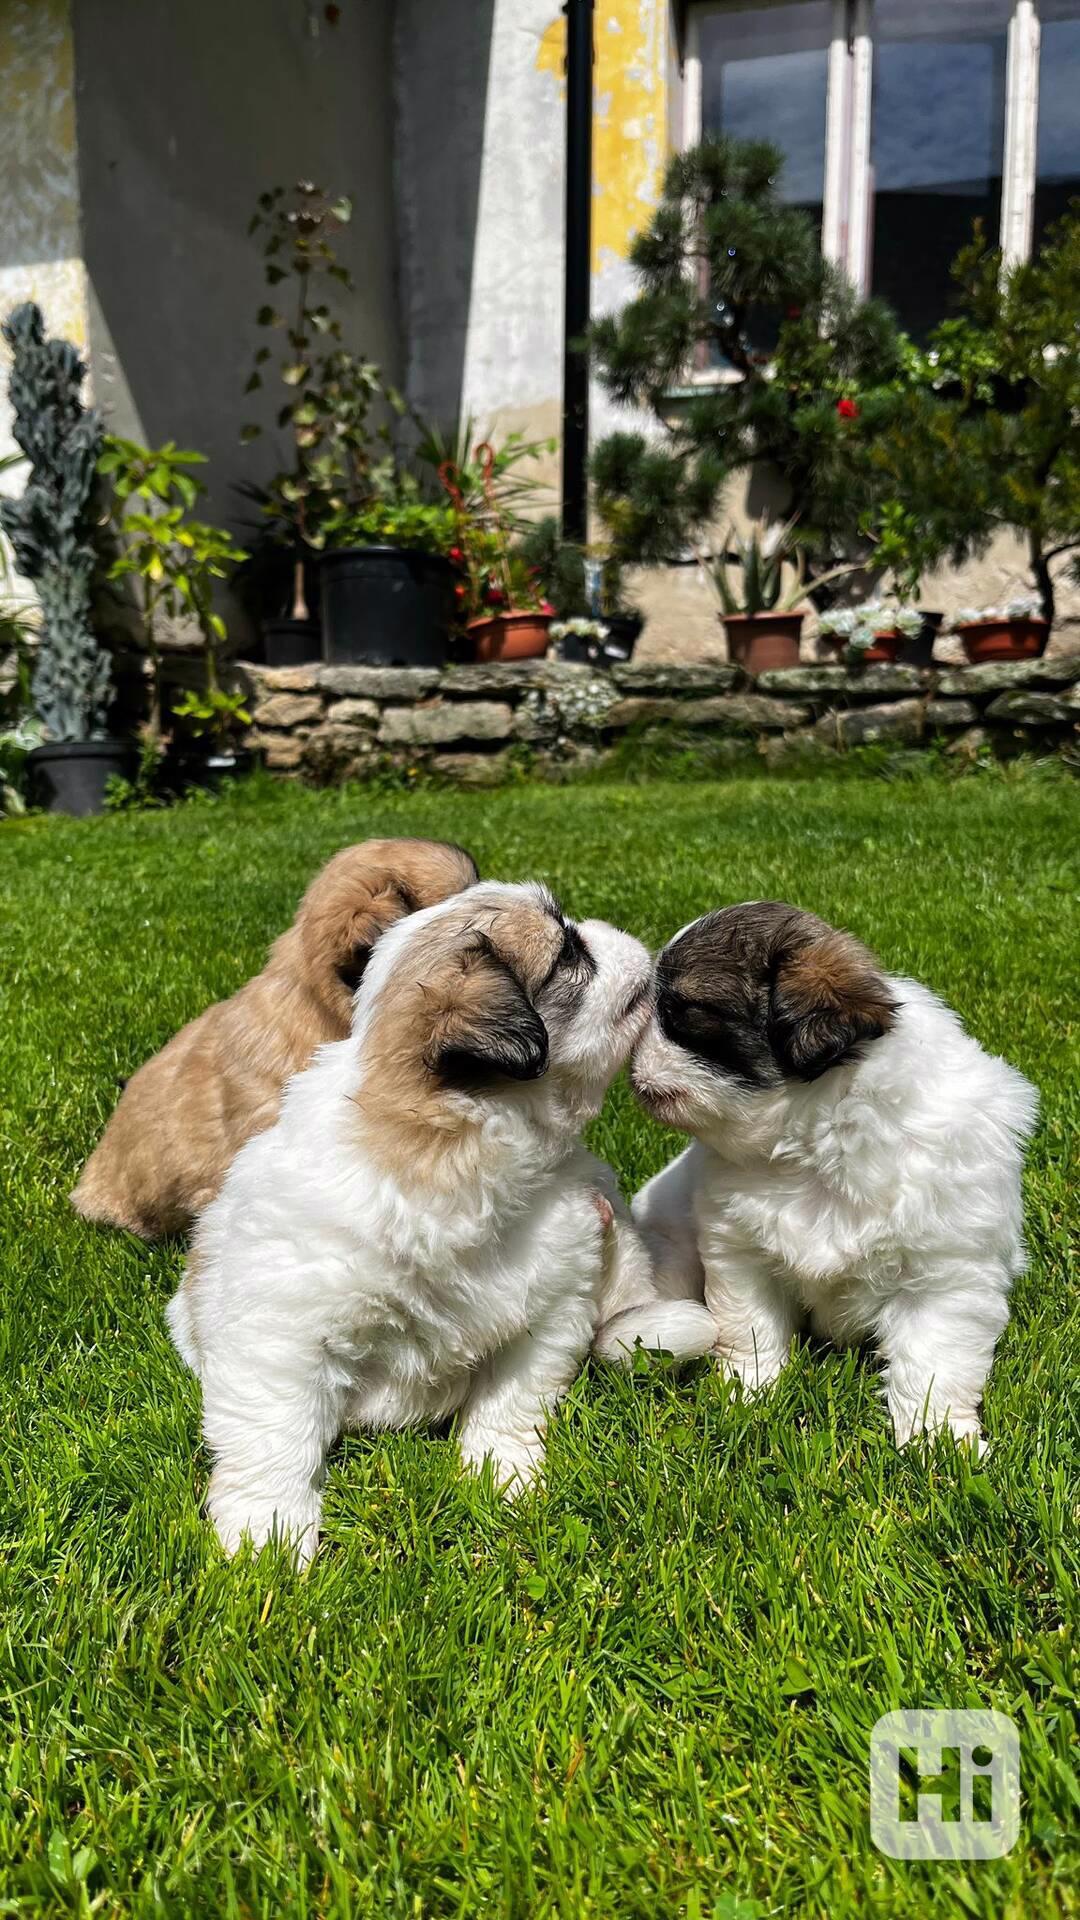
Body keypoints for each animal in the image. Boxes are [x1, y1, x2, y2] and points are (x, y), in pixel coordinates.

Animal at [166, 883, 714, 1559]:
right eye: (568, 951)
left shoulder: (551, 1305)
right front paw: (266, 1534)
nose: (626, 937)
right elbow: (276, 1434)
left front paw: (502, 1476)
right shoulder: (282, 1331)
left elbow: (510, 1401)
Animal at [630, 906, 1037, 1443]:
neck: (816, 1144)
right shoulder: (740, 1254)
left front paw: (936, 1439)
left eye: (684, 1014)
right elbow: (750, 1329)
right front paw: (746, 1398)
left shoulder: (947, 1277)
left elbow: (932, 1363)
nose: (627, 1056)